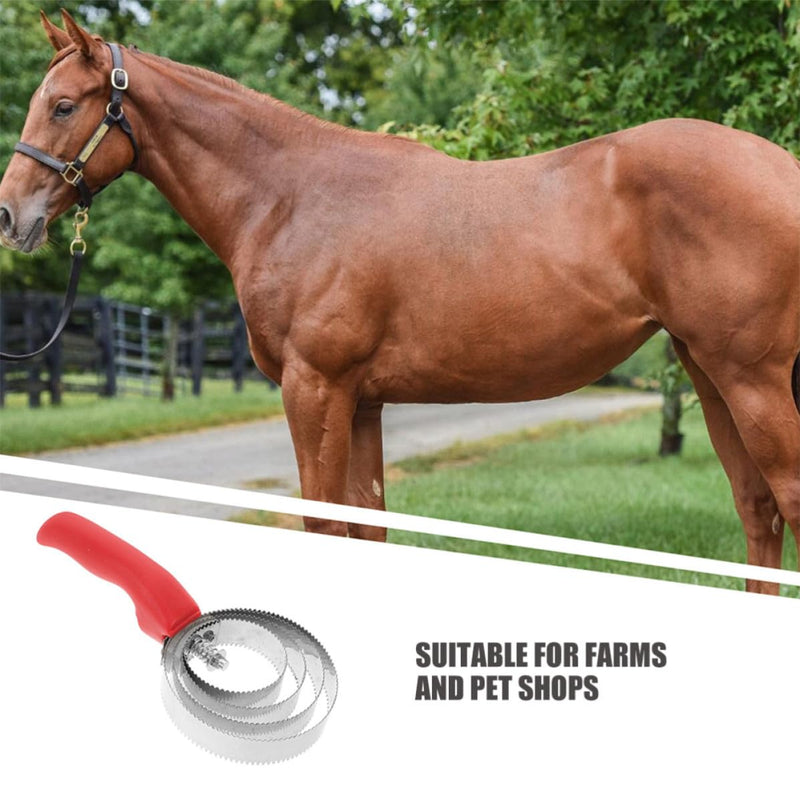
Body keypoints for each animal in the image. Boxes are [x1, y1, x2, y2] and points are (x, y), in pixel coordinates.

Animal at [1, 11, 798, 593]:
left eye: (64, 105)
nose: (11, 216)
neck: (292, 196)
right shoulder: (361, 401)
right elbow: (368, 527)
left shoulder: (314, 387)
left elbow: (324, 526)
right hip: (708, 373)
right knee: (758, 512)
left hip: (753, 380)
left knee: (782, 500)